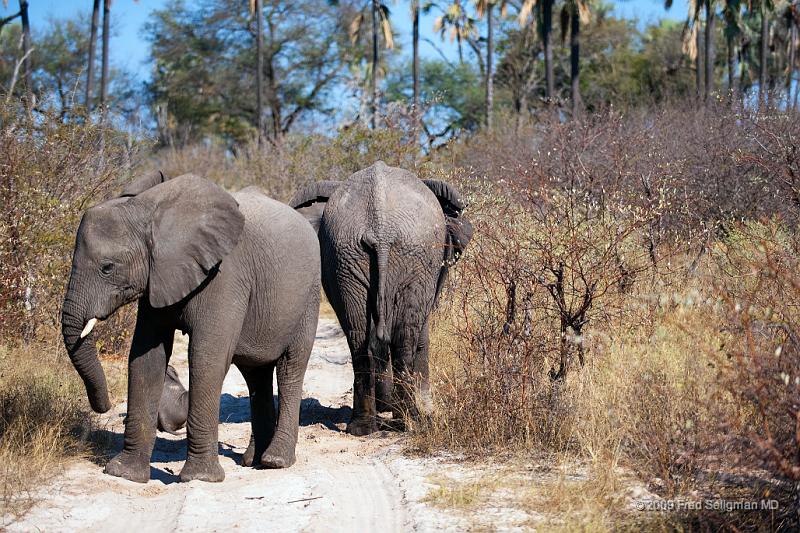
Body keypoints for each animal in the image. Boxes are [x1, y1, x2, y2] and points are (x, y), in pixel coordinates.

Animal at [61, 172, 318, 480]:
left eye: (108, 267)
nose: (105, 407)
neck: (148, 209)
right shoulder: (157, 276)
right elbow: (146, 358)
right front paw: (124, 474)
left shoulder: (224, 275)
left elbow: (206, 358)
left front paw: (200, 478)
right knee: (256, 374)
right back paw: (253, 460)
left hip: (309, 295)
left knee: (291, 368)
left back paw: (275, 461)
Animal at [290, 160, 472, 434]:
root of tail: (380, 228)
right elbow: (422, 337)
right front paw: (425, 412)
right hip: (414, 257)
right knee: (405, 339)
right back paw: (409, 421)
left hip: (346, 255)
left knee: (359, 338)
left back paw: (363, 427)